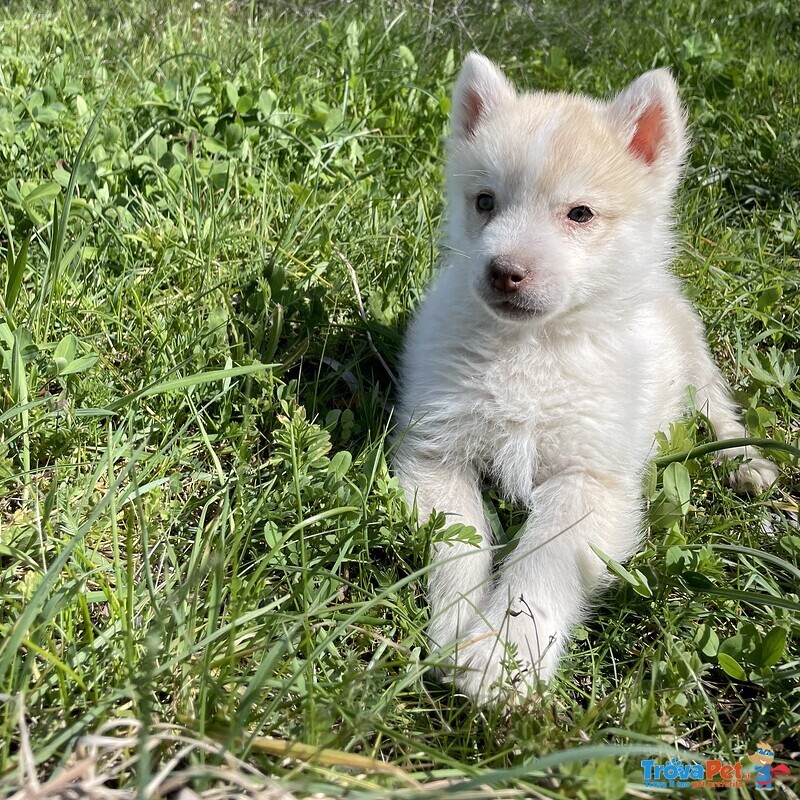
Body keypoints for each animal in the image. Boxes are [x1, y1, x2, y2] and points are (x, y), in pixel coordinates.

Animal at [396, 53, 780, 704]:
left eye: (580, 214)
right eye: (484, 201)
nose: (503, 271)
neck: (532, 350)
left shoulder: (591, 478)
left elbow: (542, 561)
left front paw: (504, 658)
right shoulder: (436, 455)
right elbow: (460, 545)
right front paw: (459, 628)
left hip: (694, 356)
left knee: (721, 410)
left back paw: (746, 464)